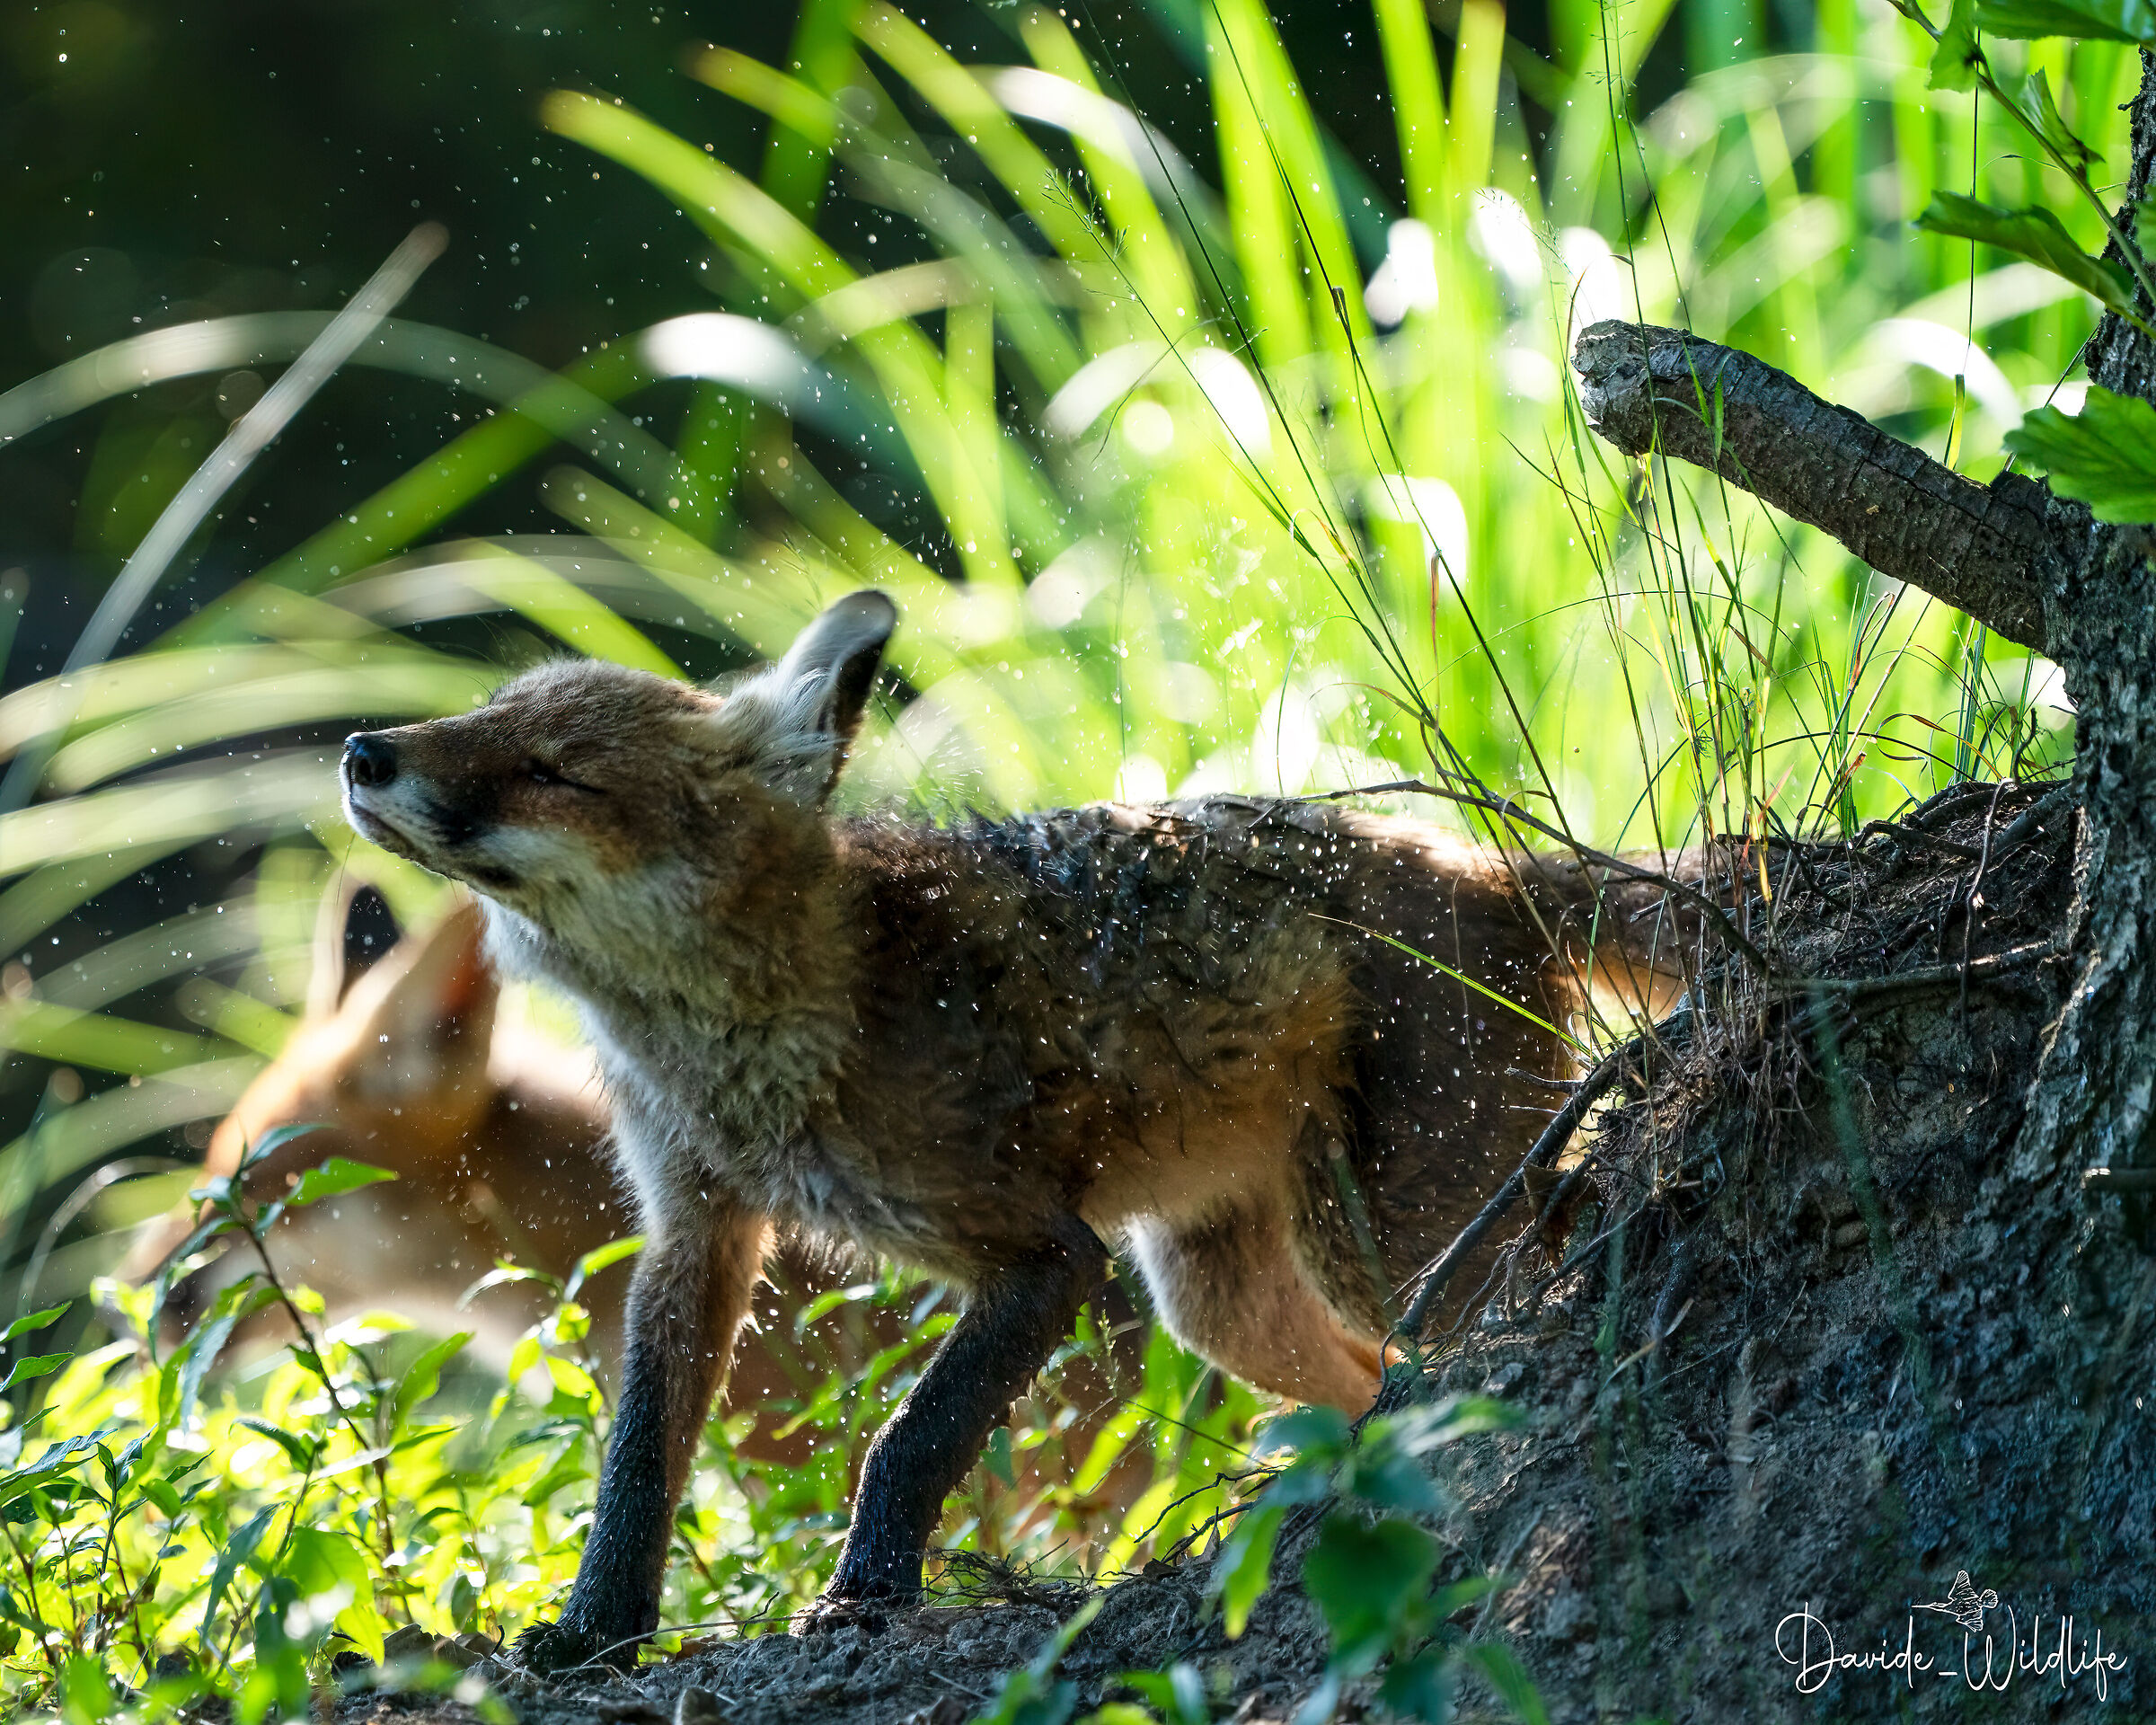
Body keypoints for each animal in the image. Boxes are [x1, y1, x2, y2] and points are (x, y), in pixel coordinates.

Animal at [337, 590, 1689, 1670]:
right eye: (484, 716)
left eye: (553, 770)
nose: (360, 748)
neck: (771, 1027)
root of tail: (1483, 858)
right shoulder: (695, 1230)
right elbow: (634, 1468)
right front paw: (595, 1637)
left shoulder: (1042, 1254)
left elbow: (905, 1442)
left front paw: (864, 1599)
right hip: (1228, 1297)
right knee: (1373, 1393)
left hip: (1398, 1249)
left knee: (1501, 1324)